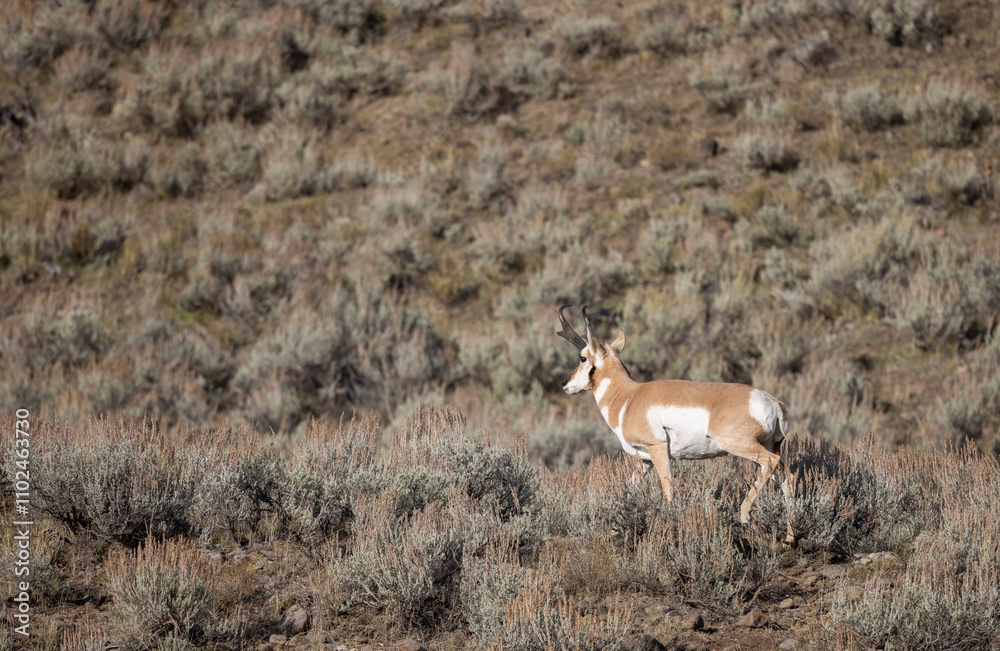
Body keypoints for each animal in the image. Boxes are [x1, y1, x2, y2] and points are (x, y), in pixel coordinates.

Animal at [557, 305, 793, 537]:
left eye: (582, 358)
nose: (564, 383)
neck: (628, 397)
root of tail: (773, 401)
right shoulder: (644, 459)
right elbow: (631, 488)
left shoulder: (658, 448)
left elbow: (668, 487)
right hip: (768, 447)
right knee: (788, 478)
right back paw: (789, 538)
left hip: (740, 445)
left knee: (771, 462)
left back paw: (745, 515)